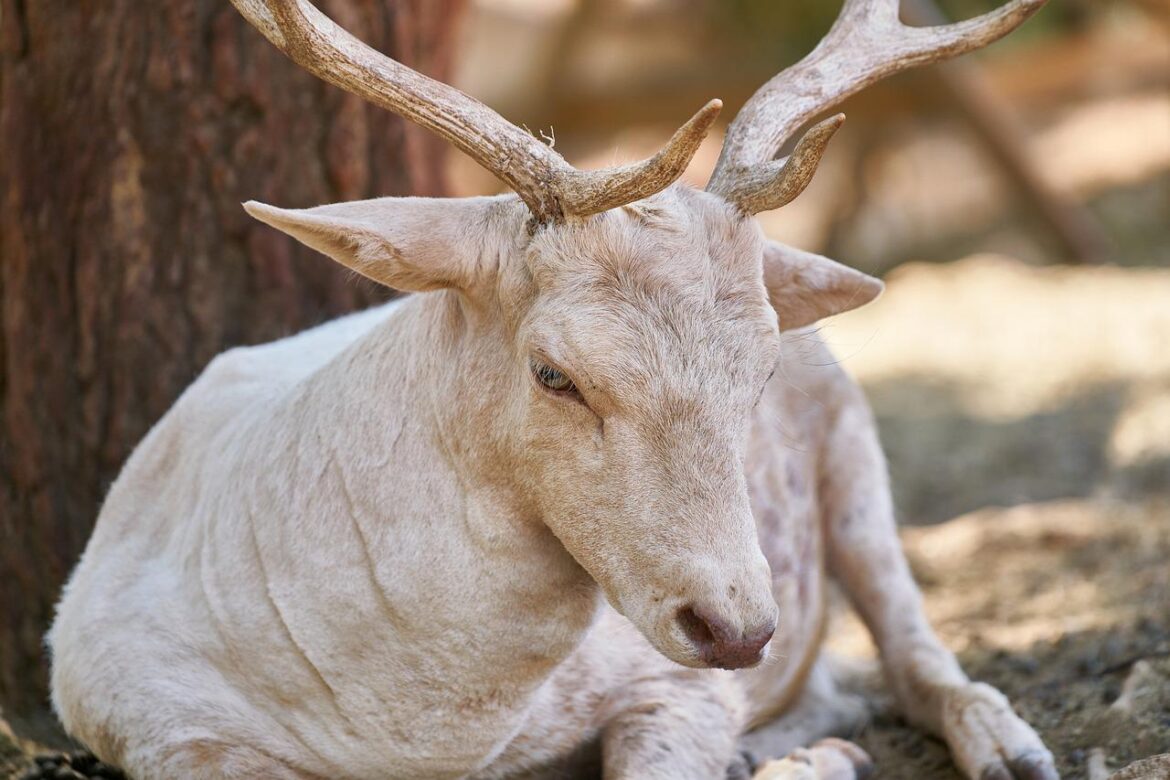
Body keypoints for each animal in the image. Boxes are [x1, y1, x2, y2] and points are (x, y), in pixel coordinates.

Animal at [50, 1, 1062, 780]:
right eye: (554, 373)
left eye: (763, 370)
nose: (736, 630)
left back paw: (1000, 749)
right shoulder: (147, 720)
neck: (419, 740)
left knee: (911, 651)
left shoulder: (674, 687)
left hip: (857, 459)